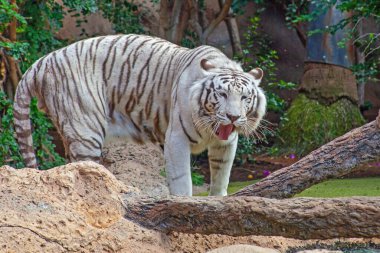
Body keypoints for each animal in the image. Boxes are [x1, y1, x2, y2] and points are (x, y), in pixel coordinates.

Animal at [13, 34, 266, 196]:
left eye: (245, 98)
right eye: (222, 94)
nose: (233, 117)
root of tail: (44, 60)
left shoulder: (226, 144)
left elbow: (222, 177)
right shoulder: (176, 139)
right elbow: (182, 180)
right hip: (86, 130)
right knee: (84, 169)